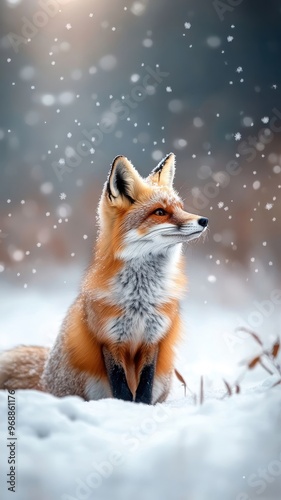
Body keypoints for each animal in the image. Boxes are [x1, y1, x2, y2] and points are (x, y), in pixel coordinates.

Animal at [0, 154, 207, 404]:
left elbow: (144, 386)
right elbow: (121, 387)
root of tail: (44, 378)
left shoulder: (152, 339)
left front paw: (142, 407)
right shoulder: (110, 340)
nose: (204, 220)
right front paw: (124, 407)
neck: (140, 297)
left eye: (181, 208)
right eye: (160, 212)